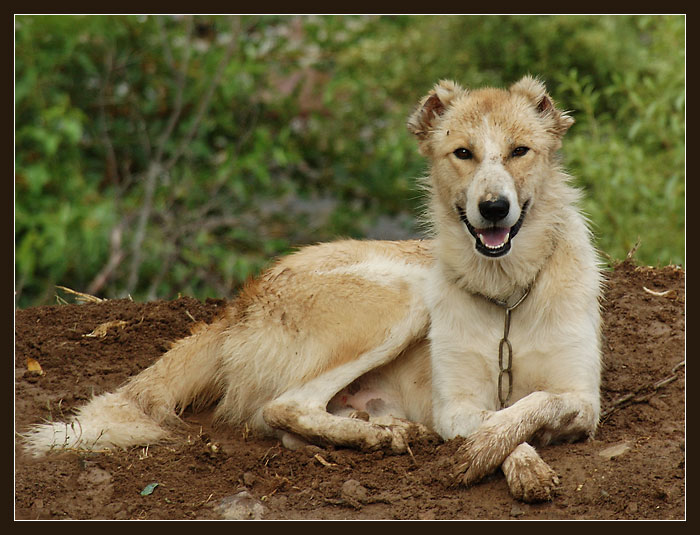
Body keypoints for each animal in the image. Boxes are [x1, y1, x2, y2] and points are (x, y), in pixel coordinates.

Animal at [21, 77, 600, 504]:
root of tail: (240, 304)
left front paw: (509, 455)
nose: (494, 208)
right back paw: (381, 435)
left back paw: (378, 427)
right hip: (402, 297)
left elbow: (531, 405)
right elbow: (498, 421)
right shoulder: (455, 406)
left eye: (520, 151)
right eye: (463, 153)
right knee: (281, 406)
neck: (507, 298)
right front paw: (494, 458)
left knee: (290, 421)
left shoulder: (584, 400)